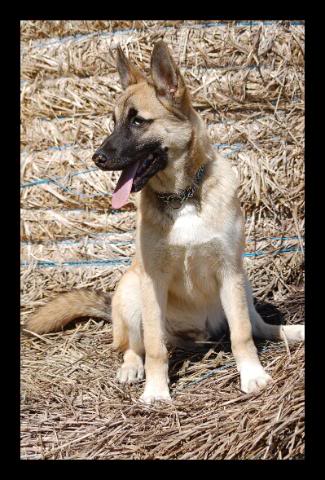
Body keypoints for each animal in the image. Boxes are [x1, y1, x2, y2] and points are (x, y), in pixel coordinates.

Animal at [26, 41, 304, 404]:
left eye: (138, 121)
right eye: (113, 122)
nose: (97, 158)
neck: (182, 196)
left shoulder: (229, 271)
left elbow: (242, 334)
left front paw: (252, 374)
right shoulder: (152, 280)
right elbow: (155, 348)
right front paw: (156, 391)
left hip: (242, 283)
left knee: (257, 326)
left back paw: (289, 330)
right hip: (132, 291)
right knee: (133, 346)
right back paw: (132, 368)